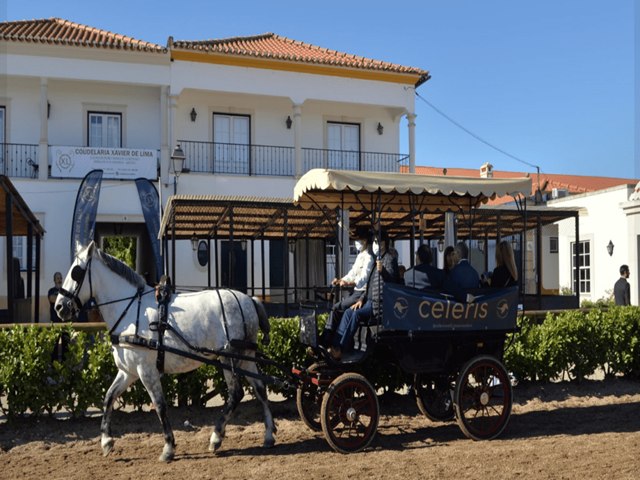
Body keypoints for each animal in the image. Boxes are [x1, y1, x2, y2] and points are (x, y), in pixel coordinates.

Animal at [55, 242, 276, 464]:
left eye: (76, 272)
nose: (59, 307)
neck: (131, 311)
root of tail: (249, 300)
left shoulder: (146, 371)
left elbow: (160, 405)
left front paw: (168, 448)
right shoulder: (128, 372)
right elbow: (109, 398)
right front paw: (106, 441)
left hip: (229, 358)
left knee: (236, 393)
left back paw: (216, 437)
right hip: (246, 357)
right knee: (260, 389)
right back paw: (268, 435)